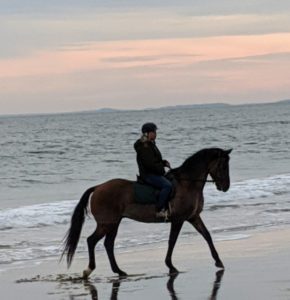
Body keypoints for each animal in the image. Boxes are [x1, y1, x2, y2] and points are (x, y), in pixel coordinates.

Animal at [62, 146, 232, 278]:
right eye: (223, 166)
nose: (225, 187)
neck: (187, 184)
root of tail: (98, 187)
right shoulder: (178, 220)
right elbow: (172, 241)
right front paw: (170, 266)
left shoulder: (193, 217)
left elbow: (207, 235)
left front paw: (218, 261)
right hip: (106, 223)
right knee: (92, 241)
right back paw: (89, 270)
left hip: (114, 223)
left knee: (108, 244)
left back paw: (119, 271)